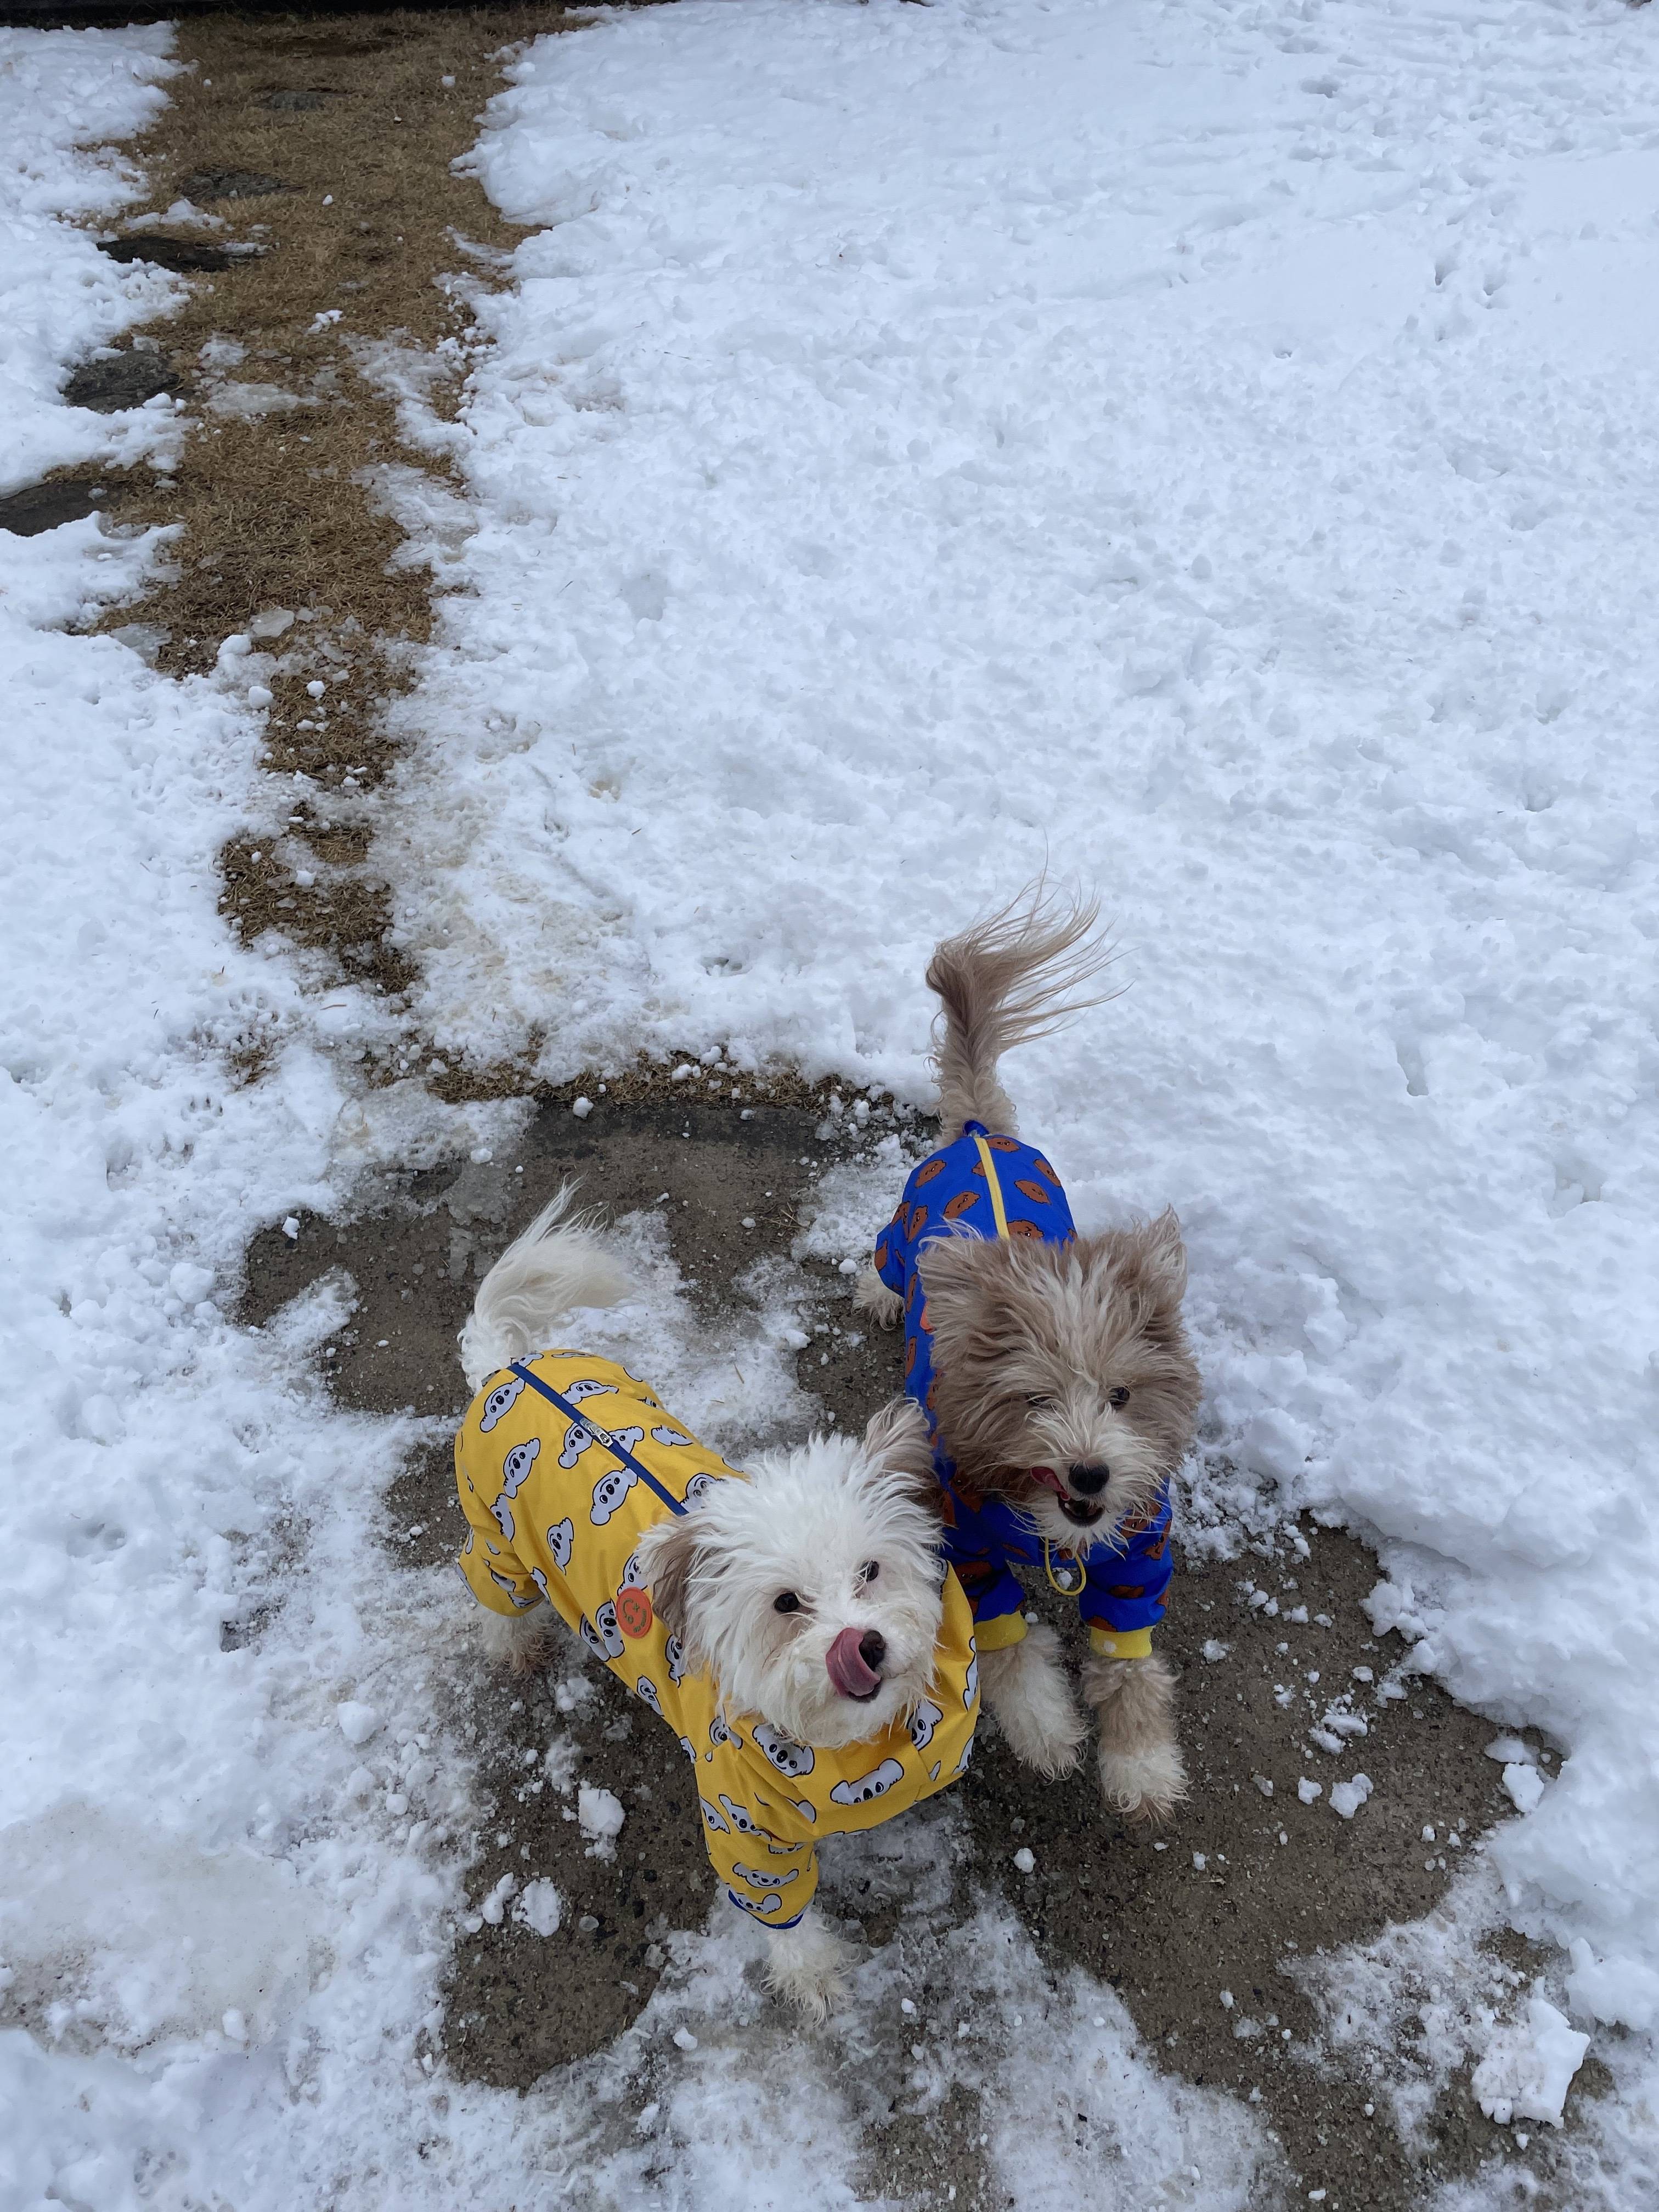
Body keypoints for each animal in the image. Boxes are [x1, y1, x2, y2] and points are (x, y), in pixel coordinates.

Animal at [862, 889, 1203, 1822]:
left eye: (1122, 1397)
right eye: (1033, 1400)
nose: (1090, 1473)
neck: (1056, 1530)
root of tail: (979, 1129)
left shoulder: (1137, 1552)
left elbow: (1133, 1669)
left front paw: (1140, 1766)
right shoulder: (967, 1547)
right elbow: (1011, 1649)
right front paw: (1048, 1732)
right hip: (896, 1234)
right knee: (879, 1260)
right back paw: (880, 1294)